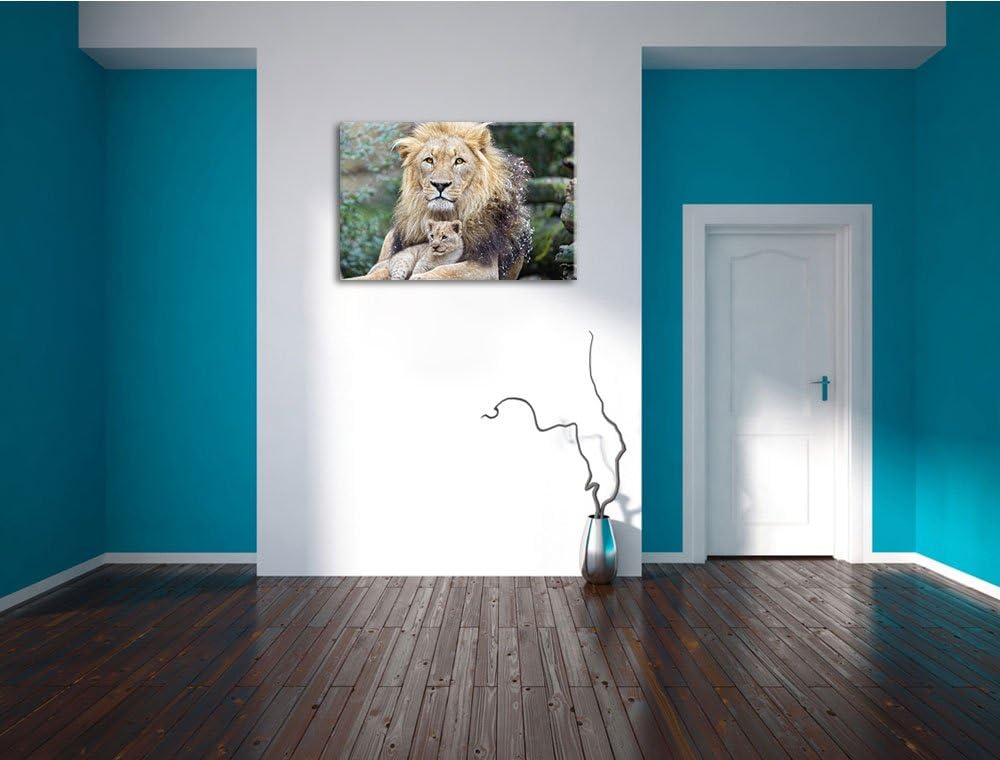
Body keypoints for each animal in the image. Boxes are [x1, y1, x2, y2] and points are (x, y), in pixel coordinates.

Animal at [375, 122, 532, 280]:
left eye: (459, 161)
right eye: (429, 160)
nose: (440, 185)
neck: (443, 216)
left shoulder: (485, 266)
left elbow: (444, 270)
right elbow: (380, 271)